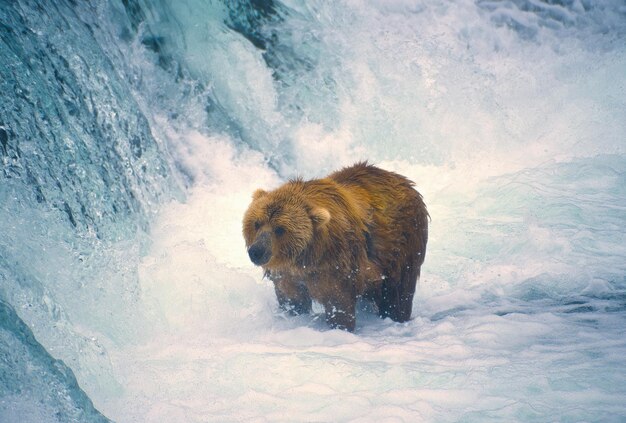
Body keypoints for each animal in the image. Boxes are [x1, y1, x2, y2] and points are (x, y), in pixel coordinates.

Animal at [241, 162, 426, 332]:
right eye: (257, 223)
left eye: (280, 229)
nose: (256, 251)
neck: (306, 257)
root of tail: (404, 181)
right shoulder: (287, 275)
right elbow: (292, 300)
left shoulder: (337, 266)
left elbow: (339, 302)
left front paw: (340, 326)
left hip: (402, 245)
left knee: (398, 293)